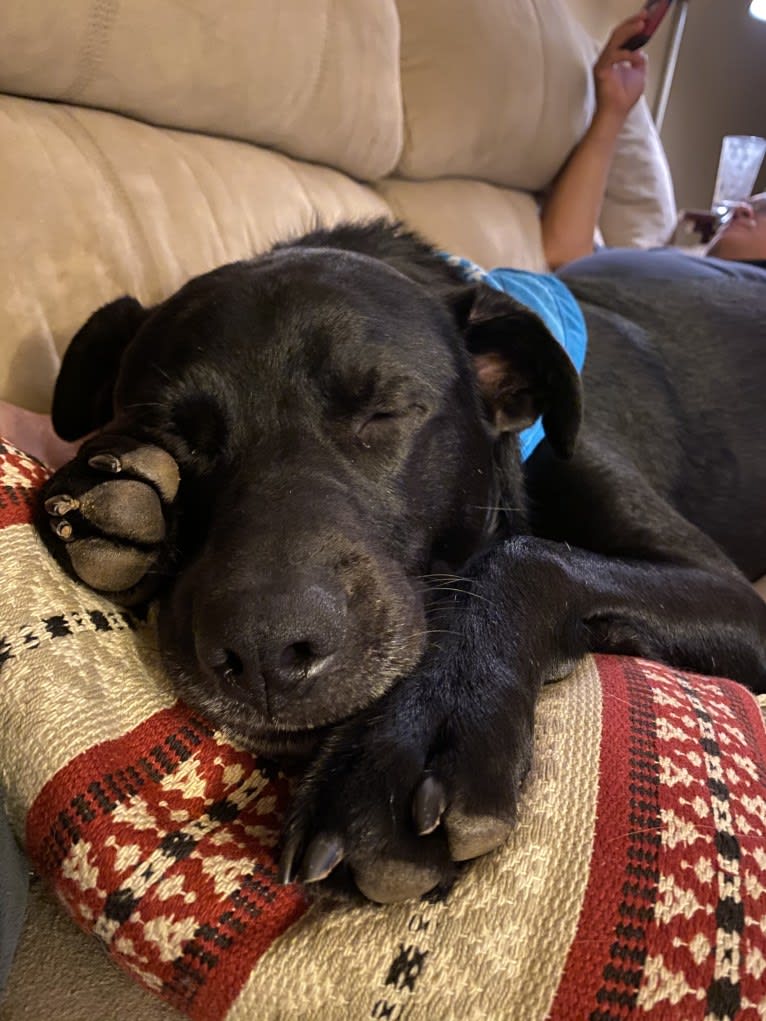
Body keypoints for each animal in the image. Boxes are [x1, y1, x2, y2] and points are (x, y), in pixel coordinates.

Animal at [37, 221, 766, 902]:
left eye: (386, 412)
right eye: (169, 432)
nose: (265, 653)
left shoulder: (734, 593)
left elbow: (521, 558)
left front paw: (413, 734)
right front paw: (106, 491)